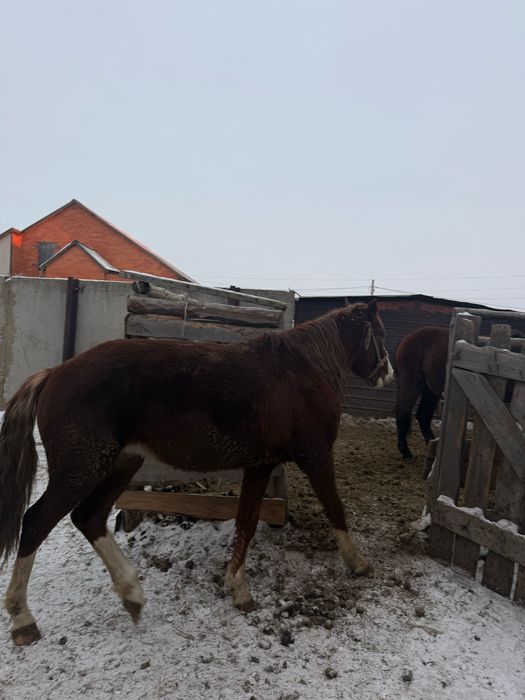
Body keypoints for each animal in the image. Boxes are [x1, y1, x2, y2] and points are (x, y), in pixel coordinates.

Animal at [0, 300, 393, 646]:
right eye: (380, 332)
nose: (387, 375)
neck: (302, 370)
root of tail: (53, 374)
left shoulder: (260, 465)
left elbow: (246, 521)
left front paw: (238, 588)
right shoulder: (315, 455)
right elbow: (334, 506)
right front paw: (358, 562)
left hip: (120, 465)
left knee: (89, 517)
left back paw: (132, 593)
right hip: (80, 469)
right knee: (36, 522)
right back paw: (23, 619)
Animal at [394, 326, 448, 459]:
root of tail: (405, 339)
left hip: (430, 391)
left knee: (423, 416)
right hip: (412, 384)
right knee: (403, 412)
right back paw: (406, 452)